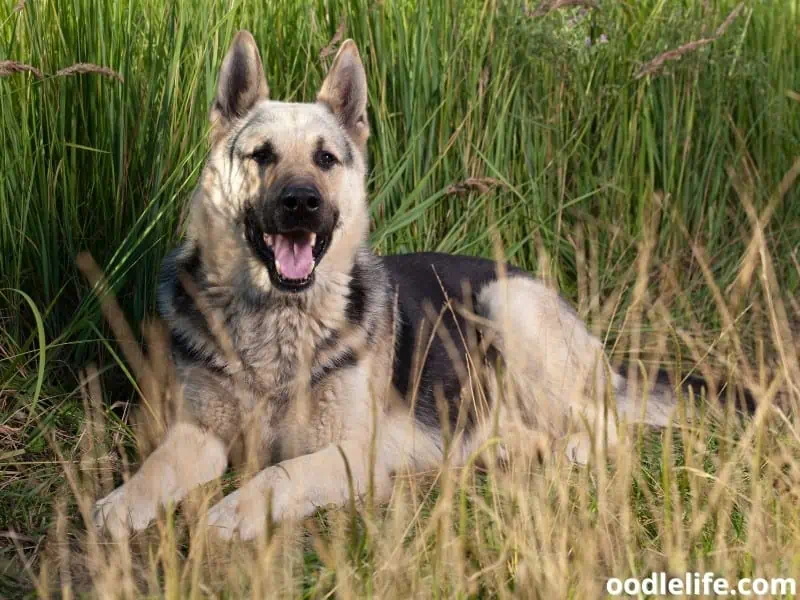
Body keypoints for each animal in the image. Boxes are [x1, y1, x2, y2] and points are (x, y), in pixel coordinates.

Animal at [90, 30, 748, 540]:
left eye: (325, 159)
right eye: (262, 155)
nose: (301, 203)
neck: (277, 318)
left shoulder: (353, 454)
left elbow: (278, 473)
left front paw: (233, 511)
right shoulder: (198, 434)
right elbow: (157, 468)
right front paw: (123, 503)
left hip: (507, 307)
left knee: (604, 424)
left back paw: (571, 451)